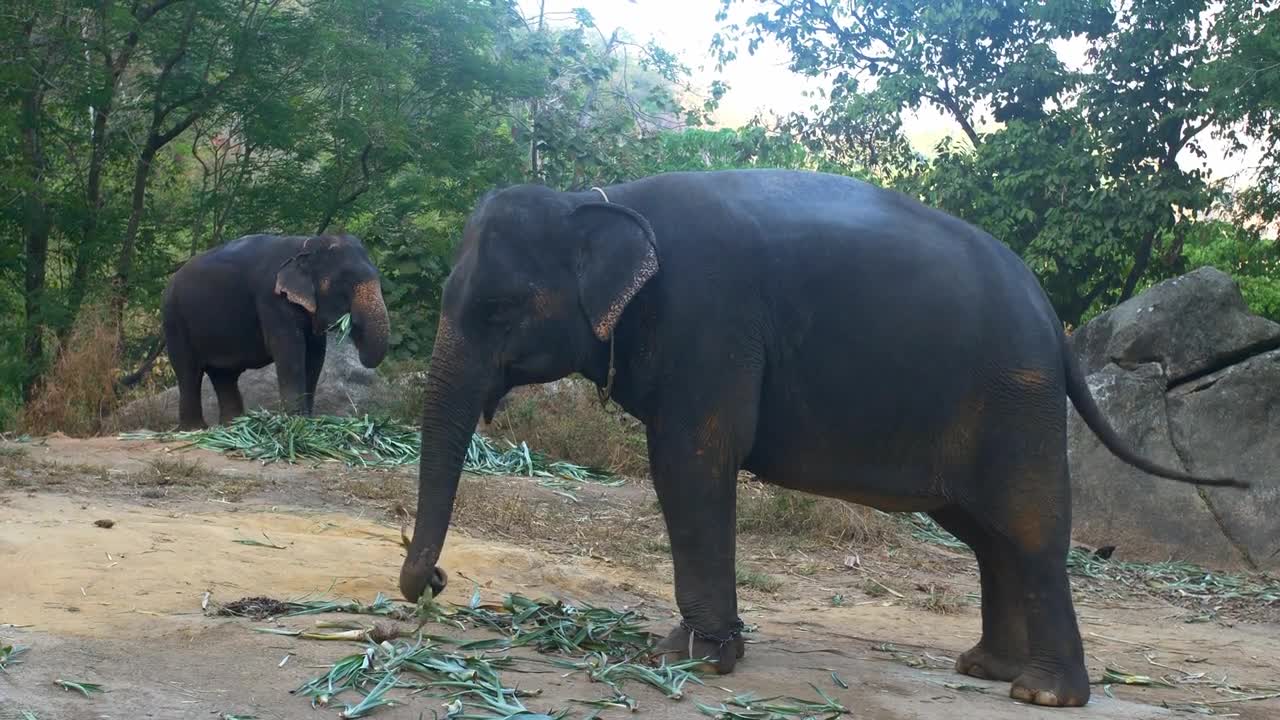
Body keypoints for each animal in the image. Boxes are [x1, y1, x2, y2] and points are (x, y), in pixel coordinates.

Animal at [160, 233, 389, 427]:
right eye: (344, 282)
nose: (352, 324)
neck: (305, 245)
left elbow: (315, 355)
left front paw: (308, 421)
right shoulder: (271, 299)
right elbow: (289, 349)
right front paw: (296, 422)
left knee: (223, 375)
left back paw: (233, 425)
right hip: (174, 320)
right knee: (189, 372)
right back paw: (196, 428)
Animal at [396, 169, 1239, 707]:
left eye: (499, 310)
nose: (435, 583)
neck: (596, 198)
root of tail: (1056, 325)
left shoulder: (710, 322)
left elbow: (691, 459)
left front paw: (687, 659)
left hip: (1015, 398)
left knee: (1027, 529)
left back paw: (1042, 693)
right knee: (983, 531)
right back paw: (984, 670)